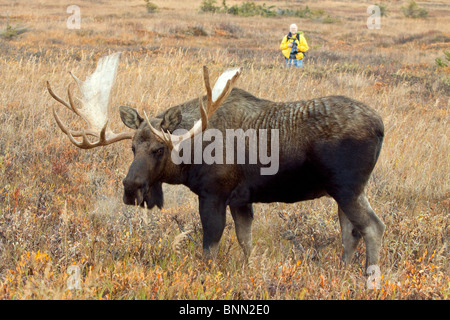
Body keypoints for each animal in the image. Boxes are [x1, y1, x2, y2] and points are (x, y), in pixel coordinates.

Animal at [48, 52, 386, 272]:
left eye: (159, 149)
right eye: (132, 148)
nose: (131, 187)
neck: (191, 152)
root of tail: (381, 125)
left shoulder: (214, 195)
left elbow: (209, 249)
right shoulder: (241, 200)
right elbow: (245, 243)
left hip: (347, 188)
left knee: (372, 227)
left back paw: (370, 279)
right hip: (347, 191)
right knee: (350, 232)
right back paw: (342, 273)